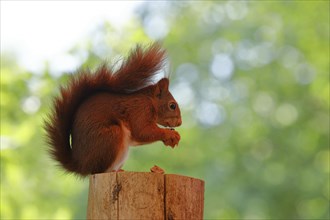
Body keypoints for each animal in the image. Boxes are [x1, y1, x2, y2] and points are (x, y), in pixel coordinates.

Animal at [44, 43, 182, 176]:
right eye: (172, 106)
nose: (180, 123)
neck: (150, 101)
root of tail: (81, 165)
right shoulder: (140, 110)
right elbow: (142, 131)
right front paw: (170, 134)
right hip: (111, 136)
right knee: (97, 170)